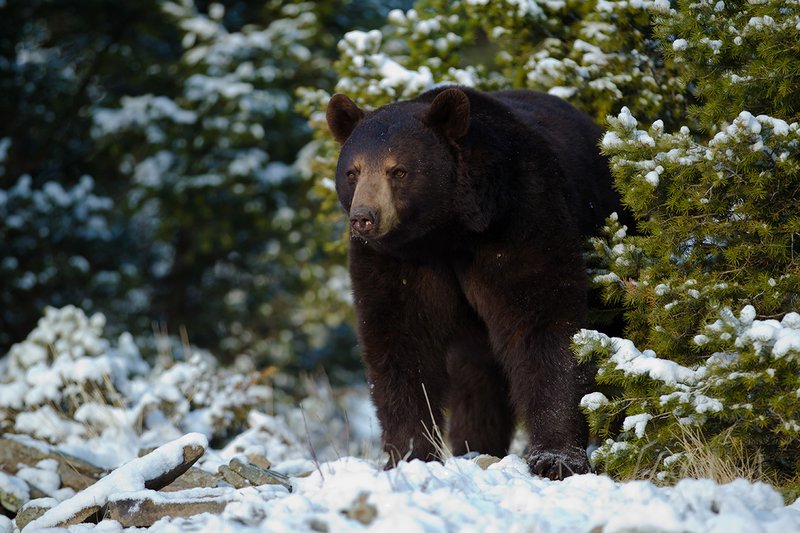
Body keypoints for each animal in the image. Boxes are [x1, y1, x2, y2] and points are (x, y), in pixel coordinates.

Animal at [326, 86, 624, 480]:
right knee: (475, 377)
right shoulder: (396, 261)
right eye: (352, 171)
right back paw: (476, 443)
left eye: (399, 170)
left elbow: (544, 322)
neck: (448, 231)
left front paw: (556, 458)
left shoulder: (520, 222)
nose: (364, 218)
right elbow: (400, 340)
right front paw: (409, 453)